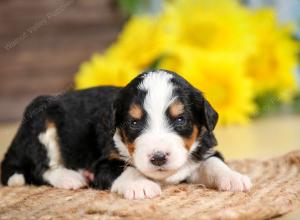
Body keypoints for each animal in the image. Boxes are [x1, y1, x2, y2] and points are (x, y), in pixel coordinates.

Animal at [0, 69, 251, 199]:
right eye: (133, 123)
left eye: (180, 120)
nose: (158, 157)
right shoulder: (103, 162)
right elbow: (125, 168)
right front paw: (140, 185)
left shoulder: (204, 147)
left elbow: (213, 163)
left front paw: (234, 178)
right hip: (42, 122)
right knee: (38, 169)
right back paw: (71, 177)